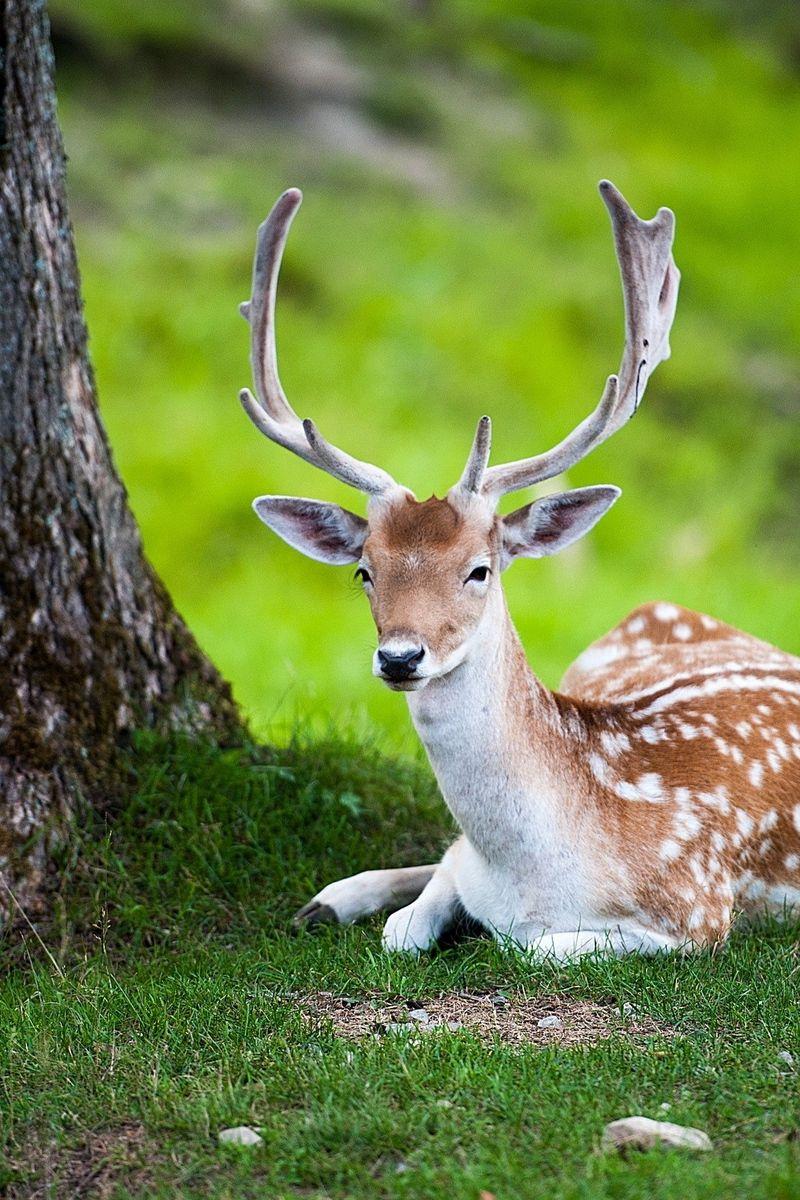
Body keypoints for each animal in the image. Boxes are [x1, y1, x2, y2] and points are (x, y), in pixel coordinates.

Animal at [238, 181, 800, 961]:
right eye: (365, 571)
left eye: (480, 570)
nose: (400, 657)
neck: (532, 870)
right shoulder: (467, 865)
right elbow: (409, 922)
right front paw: (359, 903)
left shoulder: (697, 914)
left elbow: (530, 945)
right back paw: (330, 898)